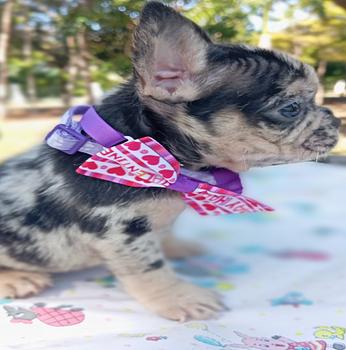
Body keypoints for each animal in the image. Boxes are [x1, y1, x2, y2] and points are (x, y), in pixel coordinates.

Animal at [0, 1, 340, 322]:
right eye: (291, 108)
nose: (336, 120)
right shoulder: (122, 231)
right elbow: (151, 269)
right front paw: (181, 298)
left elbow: (165, 234)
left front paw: (178, 247)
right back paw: (18, 279)